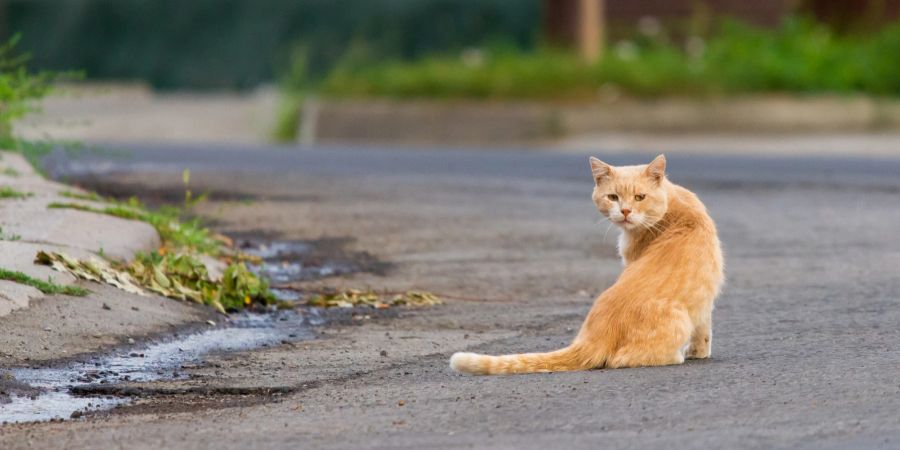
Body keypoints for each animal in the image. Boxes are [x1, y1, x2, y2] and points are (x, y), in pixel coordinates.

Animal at [450, 156, 724, 374]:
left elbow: (705, 328)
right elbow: (705, 328)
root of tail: (595, 334)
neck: (674, 207)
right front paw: (699, 352)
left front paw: (699, 352)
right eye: (613, 197)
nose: (625, 211)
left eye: (639, 197)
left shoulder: (703, 299)